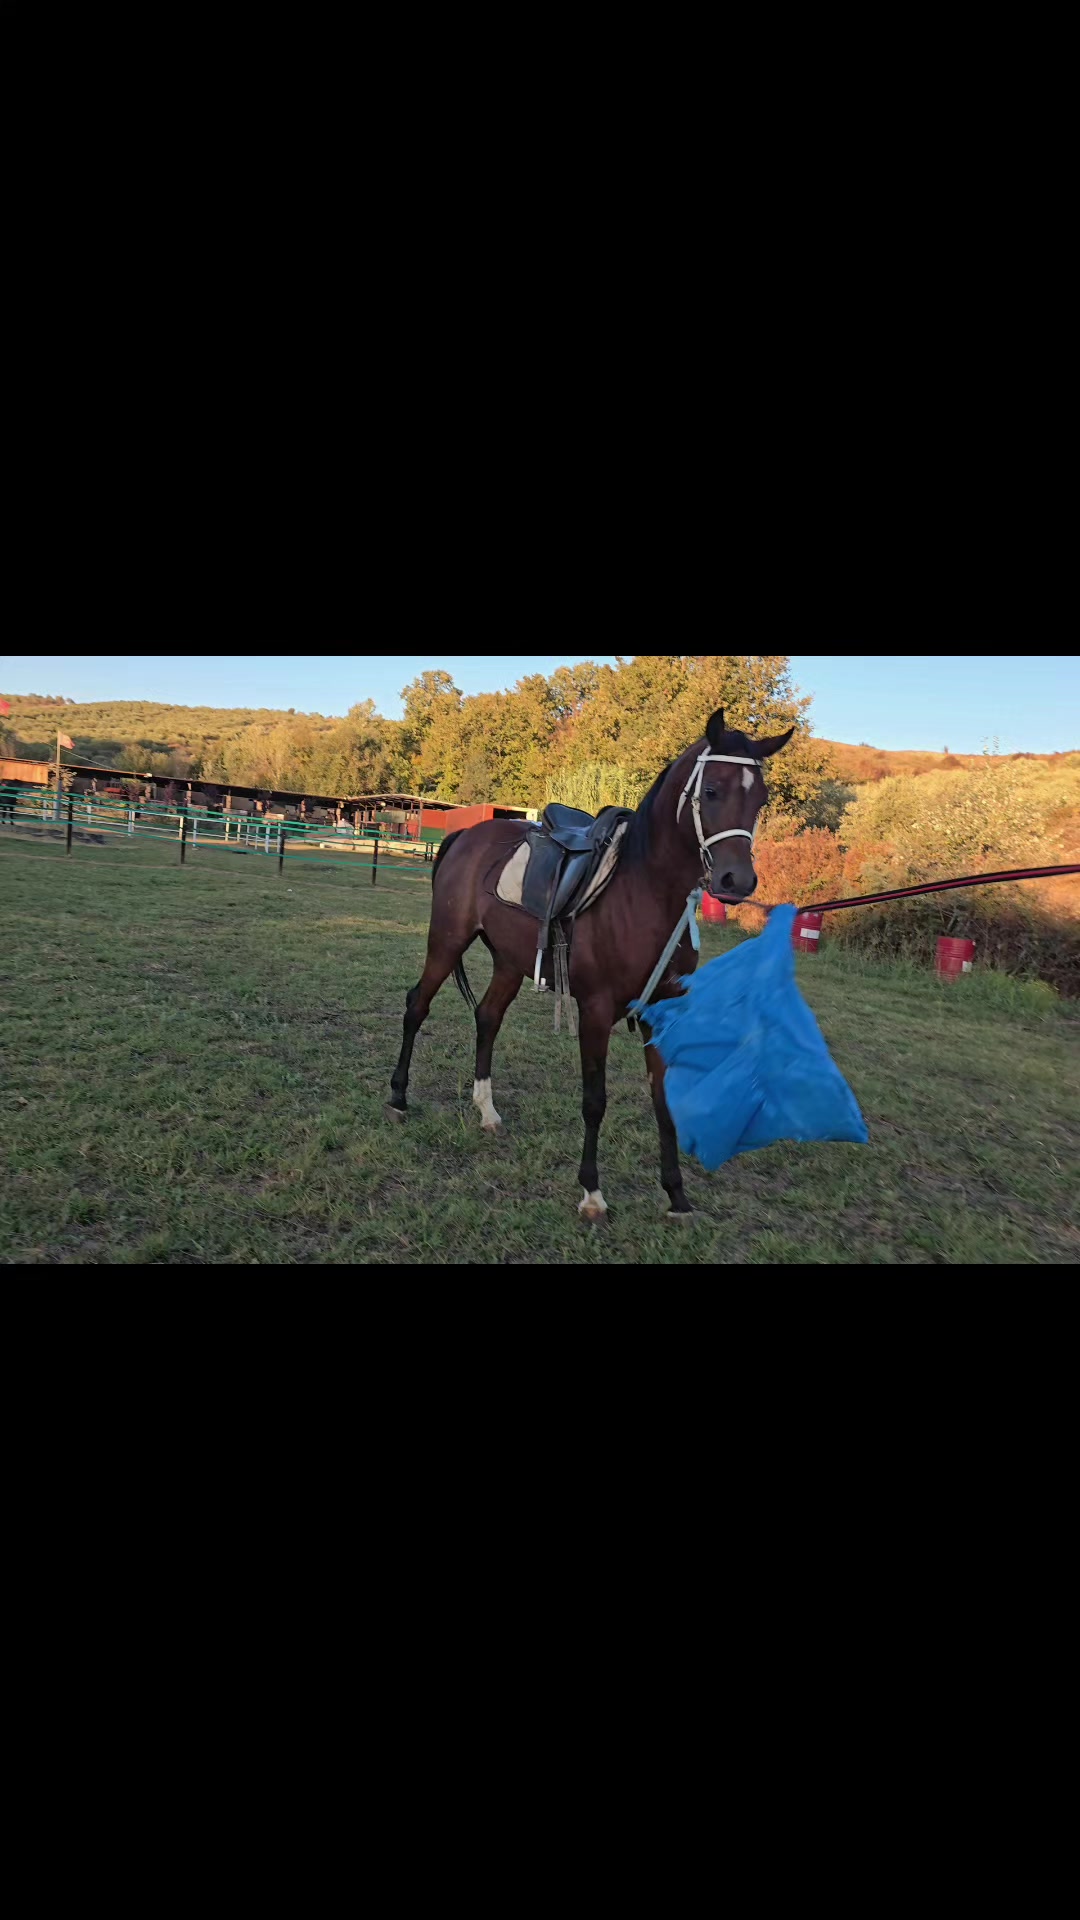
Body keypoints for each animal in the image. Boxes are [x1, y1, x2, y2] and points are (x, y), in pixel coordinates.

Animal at [387, 709, 794, 1221]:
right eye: (712, 791)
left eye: (760, 798)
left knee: (487, 1017)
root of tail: (466, 835)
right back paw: (398, 1097)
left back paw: (487, 1111)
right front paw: (592, 1193)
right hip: (445, 943)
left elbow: (664, 1100)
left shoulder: (661, 1012)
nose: (736, 880)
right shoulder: (596, 1012)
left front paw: (676, 1194)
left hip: (508, 963)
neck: (644, 894)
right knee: (416, 1006)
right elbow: (595, 1101)